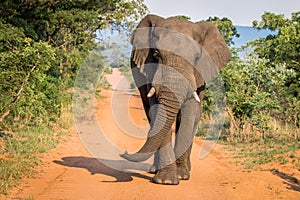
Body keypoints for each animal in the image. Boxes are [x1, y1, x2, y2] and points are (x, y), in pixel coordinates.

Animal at [119, 14, 230, 184]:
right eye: (156, 54)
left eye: (197, 57)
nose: (123, 153)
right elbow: (158, 110)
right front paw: (166, 181)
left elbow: (189, 114)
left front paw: (181, 176)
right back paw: (155, 170)